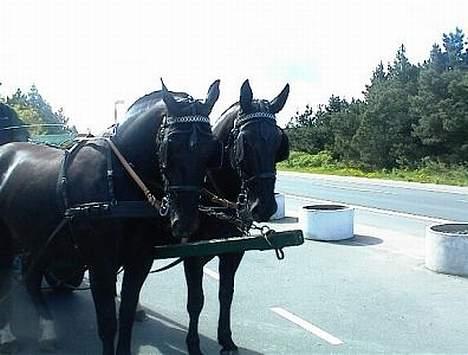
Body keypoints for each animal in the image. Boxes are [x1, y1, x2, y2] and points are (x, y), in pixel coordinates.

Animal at [0, 81, 222, 355]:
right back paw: (7, 334)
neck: (118, 178)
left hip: (41, 241)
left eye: (211, 149)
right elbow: (108, 323)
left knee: (31, 279)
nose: (185, 222)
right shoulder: (100, 264)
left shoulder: (139, 261)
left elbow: (126, 316)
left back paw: (47, 332)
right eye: (170, 144)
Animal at [183, 80, 288, 355]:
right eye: (245, 142)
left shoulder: (233, 251)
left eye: (278, 143)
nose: (264, 207)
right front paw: (193, 344)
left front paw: (226, 339)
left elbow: (226, 294)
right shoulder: (191, 255)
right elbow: (196, 300)